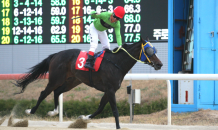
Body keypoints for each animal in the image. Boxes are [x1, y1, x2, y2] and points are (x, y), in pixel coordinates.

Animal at [14, 36, 163, 129]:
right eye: (149, 50)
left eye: (155, 49)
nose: (159, 64)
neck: (116, 63)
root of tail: (56, 55)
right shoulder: (110, 89)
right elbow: (114, 110)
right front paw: (118, 127)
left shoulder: (110, 90)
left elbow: (100, 108)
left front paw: (84, 117)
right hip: (55, 79)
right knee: (44, 93)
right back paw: (30, 111)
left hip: (72, 81)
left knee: (57, 92)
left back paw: (53, 112)